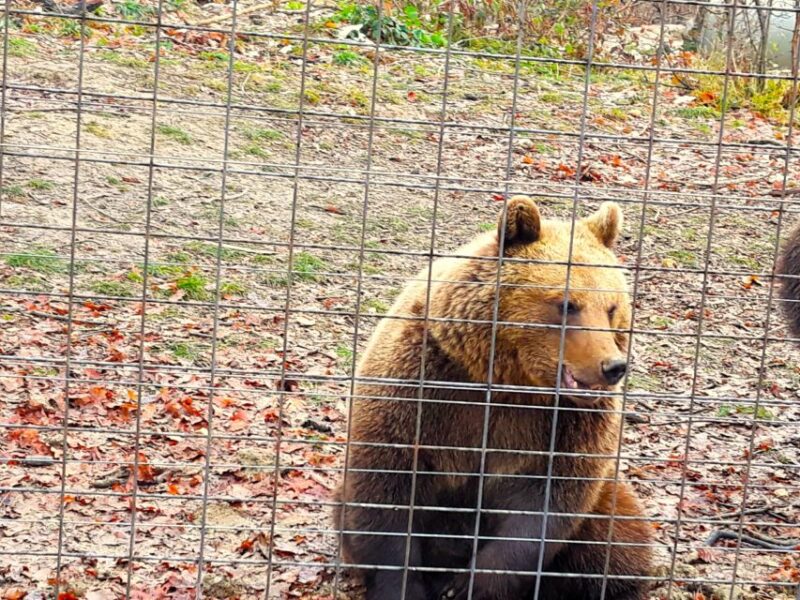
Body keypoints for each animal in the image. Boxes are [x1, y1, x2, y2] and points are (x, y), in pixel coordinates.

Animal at [333, 196, 653, 600]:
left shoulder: (563, 426)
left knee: (618, 540)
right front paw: (404, 586)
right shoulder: (422, 387)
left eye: (612, 308)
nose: (612, 366)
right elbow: (386, 491)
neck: (506, 382)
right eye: (567, 304)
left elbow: (544, 508)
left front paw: (469, 585)